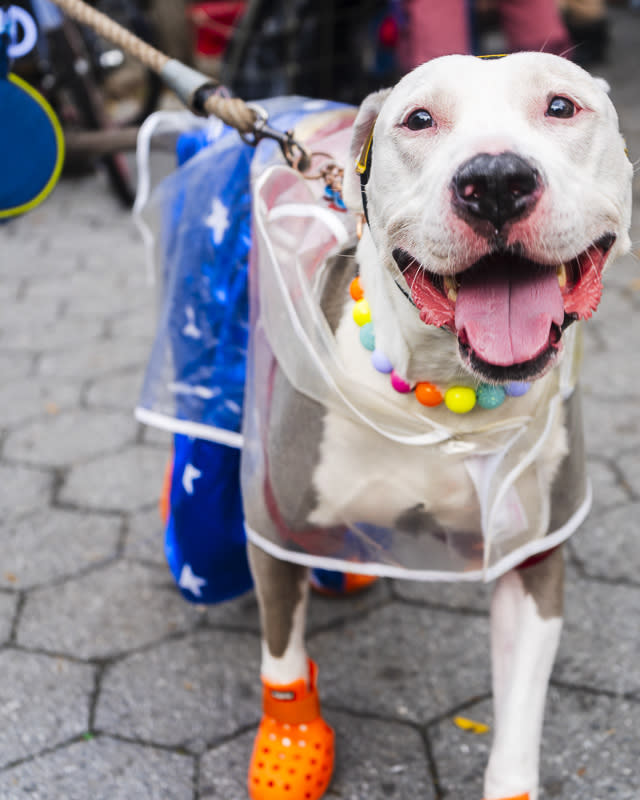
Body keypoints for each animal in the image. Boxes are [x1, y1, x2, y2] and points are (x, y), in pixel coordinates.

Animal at [241, 51, 636, 800]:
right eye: (419, 118)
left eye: (561, 106)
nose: (497, 180)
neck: (444, 397)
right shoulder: (277, 523)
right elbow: (280, 655)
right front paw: (291, 747)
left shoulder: (532, 558)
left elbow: (518, 718)